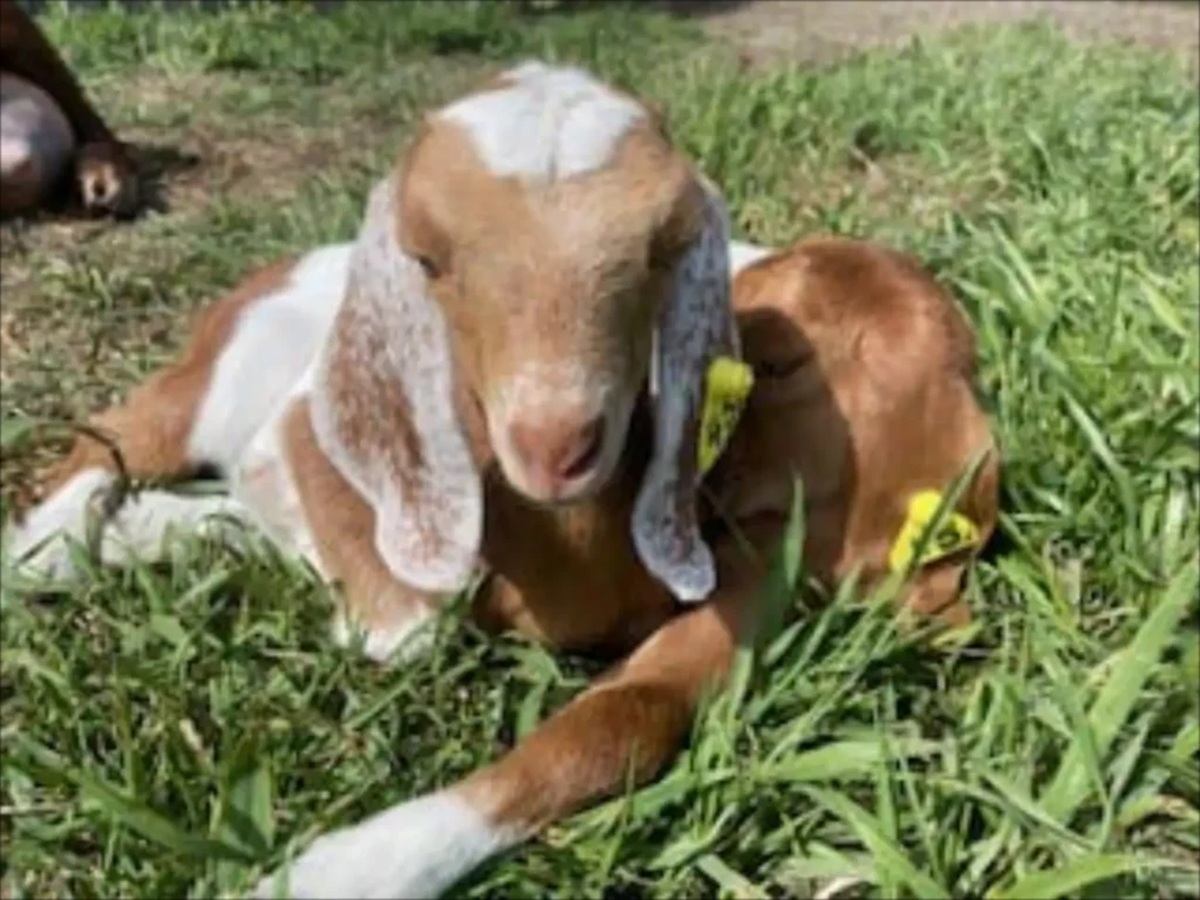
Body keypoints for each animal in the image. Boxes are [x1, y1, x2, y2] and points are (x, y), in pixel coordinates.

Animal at [4, 61, 999, 898]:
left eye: (665, 260)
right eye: (760, 339)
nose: (560, 446)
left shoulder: (766, 580)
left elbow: (625, 718)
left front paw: (360, 863)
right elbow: (402, 610)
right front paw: (335, 872)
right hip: (226, 367)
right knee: (123, 435)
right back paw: (49, 548)